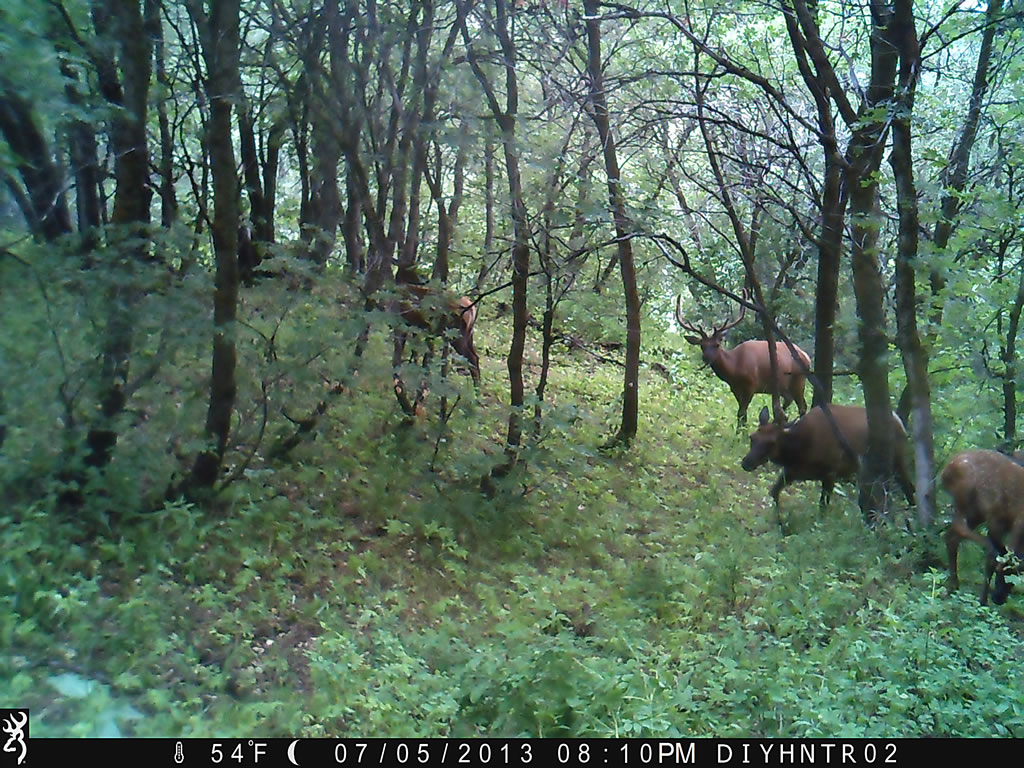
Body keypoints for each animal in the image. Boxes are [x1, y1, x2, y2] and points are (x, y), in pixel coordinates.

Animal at [677, 296, 811, 428]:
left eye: (717, 344)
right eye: (702, 346)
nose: (706, 357)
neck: (735, 368)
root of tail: (807, 356)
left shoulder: (751, 385)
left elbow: (741, 412)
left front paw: (741, 432)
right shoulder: (735, 388)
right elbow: (742, 414)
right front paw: (741, 431)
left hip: (799, 380)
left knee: (802, 407)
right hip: (784, 386)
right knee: (789, 401)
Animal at [741, 404, 915, 533]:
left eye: (771, 443)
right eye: (752, 437)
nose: (746, 462)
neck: (799, 452)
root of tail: (901, 423)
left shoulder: (831, 472)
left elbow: (823, 506)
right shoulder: (791, 471)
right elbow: (774, 492)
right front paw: (782, 526)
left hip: (898, 460)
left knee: (908, 487)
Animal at [941, 449, 1024, 606]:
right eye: (1003, 571)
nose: (999, 599)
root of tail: (945, 470)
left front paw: (983, 601)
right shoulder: (996, 519)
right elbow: (995, 557)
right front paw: (983, 601)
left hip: (976, 512)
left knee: (951, 535)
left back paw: (953, 587)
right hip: (966, 495)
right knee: (958, 526)